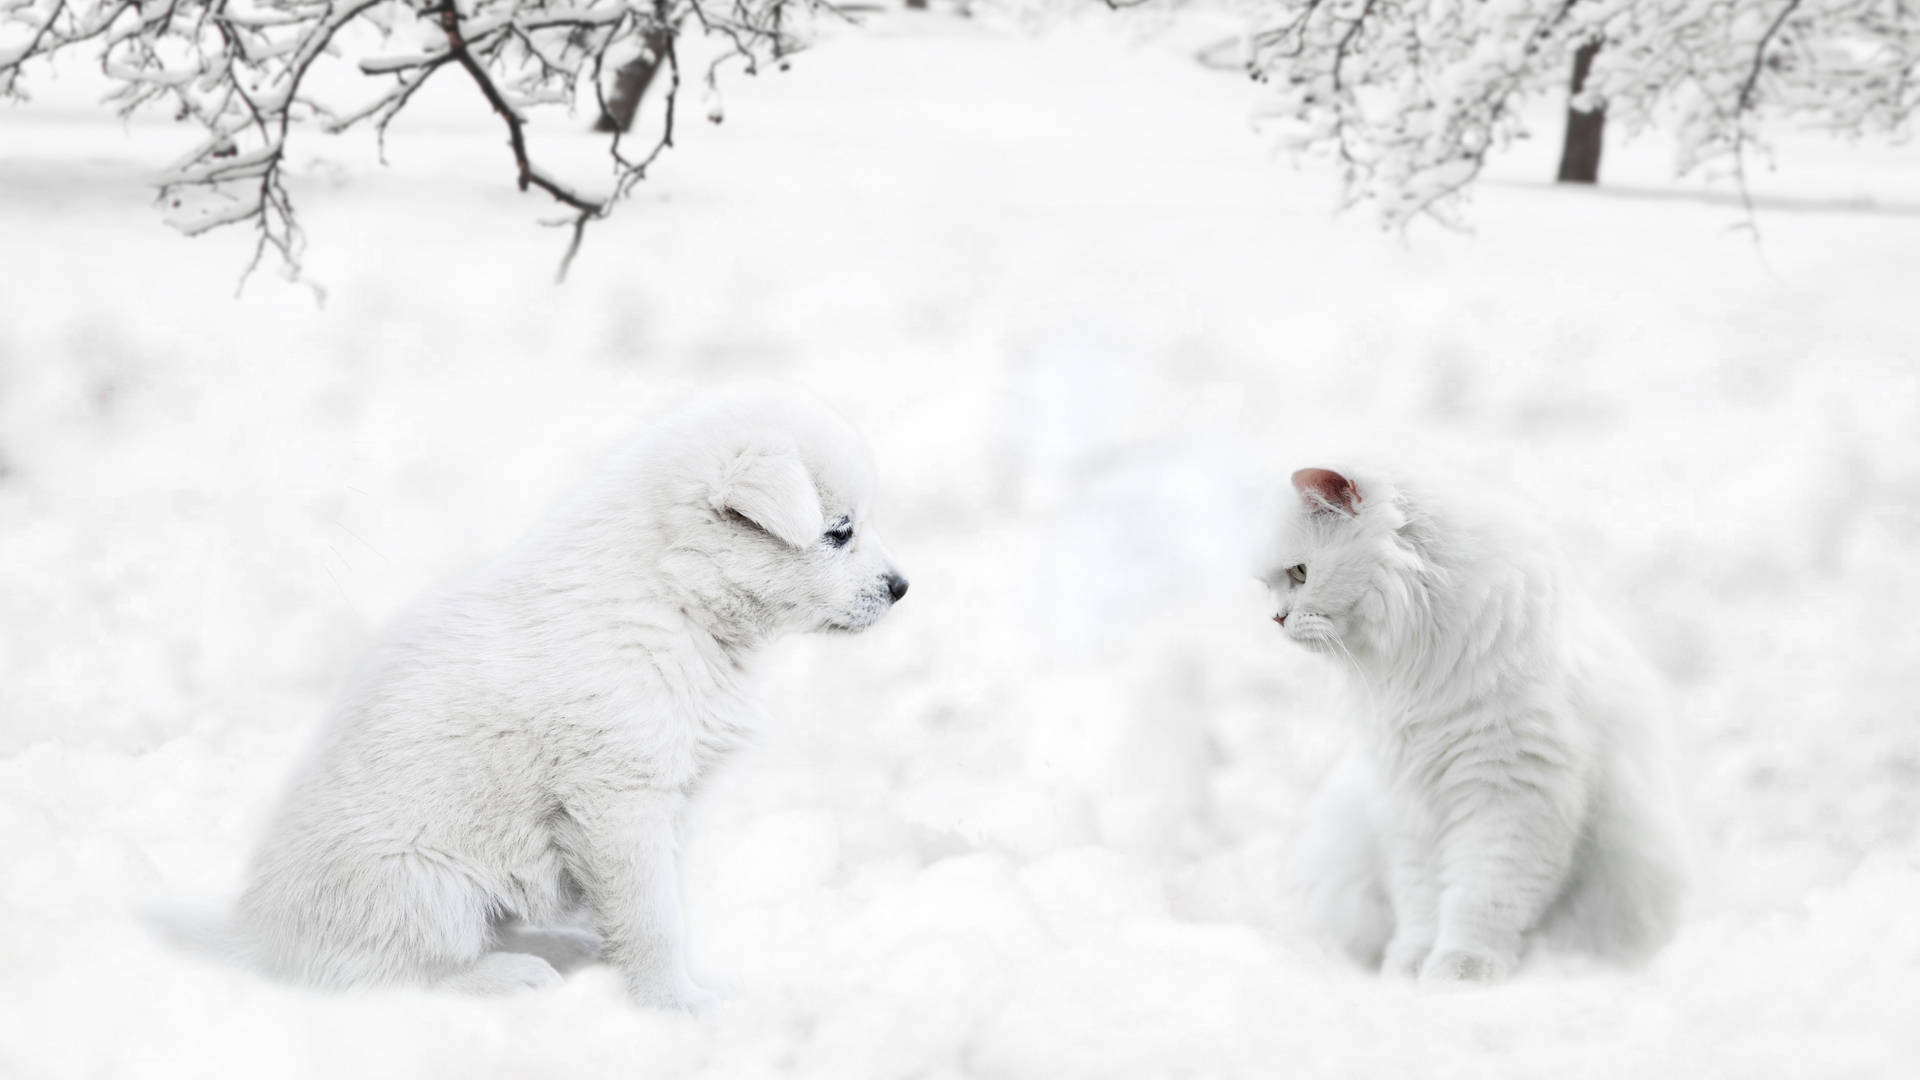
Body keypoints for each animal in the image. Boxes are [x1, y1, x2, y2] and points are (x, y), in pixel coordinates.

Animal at [219, 384, 906, 999]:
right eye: (839, 531)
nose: (902, 587)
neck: (674, 597)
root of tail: (251, 940)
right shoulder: (620, 798)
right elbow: (654, 916)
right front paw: (674, 1003)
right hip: (425, 887)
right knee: (389, 975)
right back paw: (509, 976)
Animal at [1267, 463, 1689, 976]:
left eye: (1300, 573)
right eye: (1271, 583)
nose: (1275, 617)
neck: (1418, 668)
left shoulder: (1510, 794)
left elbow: (1480, 899)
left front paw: (1458, 971)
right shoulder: (1407, 802)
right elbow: (1422, 903)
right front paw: (1408, 968)